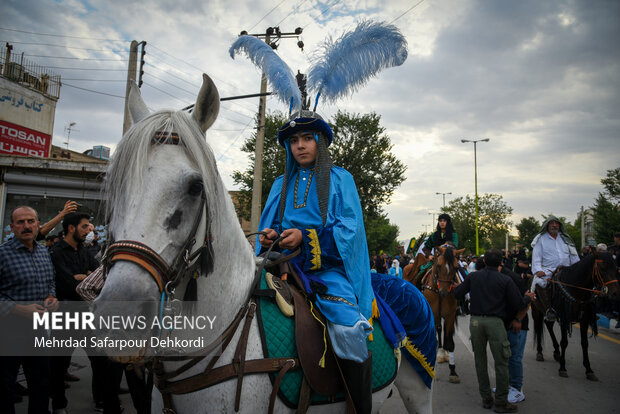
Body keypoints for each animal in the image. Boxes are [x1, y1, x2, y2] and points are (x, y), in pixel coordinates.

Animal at [424, 244, 462, 384]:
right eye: (439, 265)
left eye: (456, 267)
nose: (444, 292)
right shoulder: (434, 314)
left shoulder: (450, 315)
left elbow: (450, 343)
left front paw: (453, 372)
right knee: (439, 331)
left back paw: (443, 353)